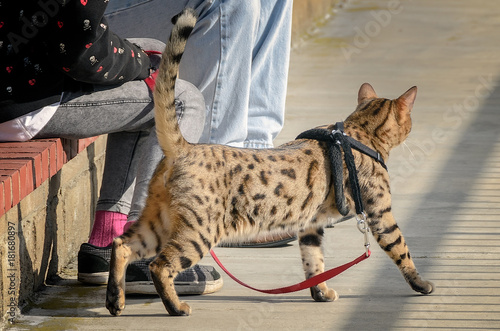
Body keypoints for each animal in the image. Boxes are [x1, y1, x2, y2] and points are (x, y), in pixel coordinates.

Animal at [105, 7, 434, 318]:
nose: (413, 125)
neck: (358, 132)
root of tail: (184, 147)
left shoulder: (311, 223)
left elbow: (314, 261)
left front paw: (321, 292)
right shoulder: (380, 212)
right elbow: (401, 249)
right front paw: (422, 284)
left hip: (157, 221)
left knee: (121, 245)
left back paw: (115, 300)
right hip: (197, 231)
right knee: (159, 266)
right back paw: (175, 307)